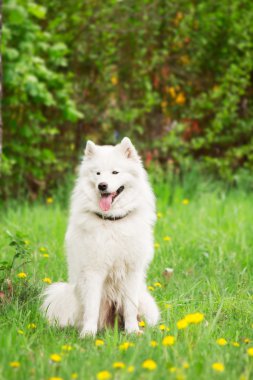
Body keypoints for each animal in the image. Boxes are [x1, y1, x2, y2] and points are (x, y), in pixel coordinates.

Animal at [42, 137, 159, 336]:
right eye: (97, 173)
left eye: (115, 172)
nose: (102, 185)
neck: (112, 222)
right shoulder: (93, 271)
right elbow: (92, 308)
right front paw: (88, 334)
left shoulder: (132, 271)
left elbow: (130, 307)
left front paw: (132, 332)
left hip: (146, 303)